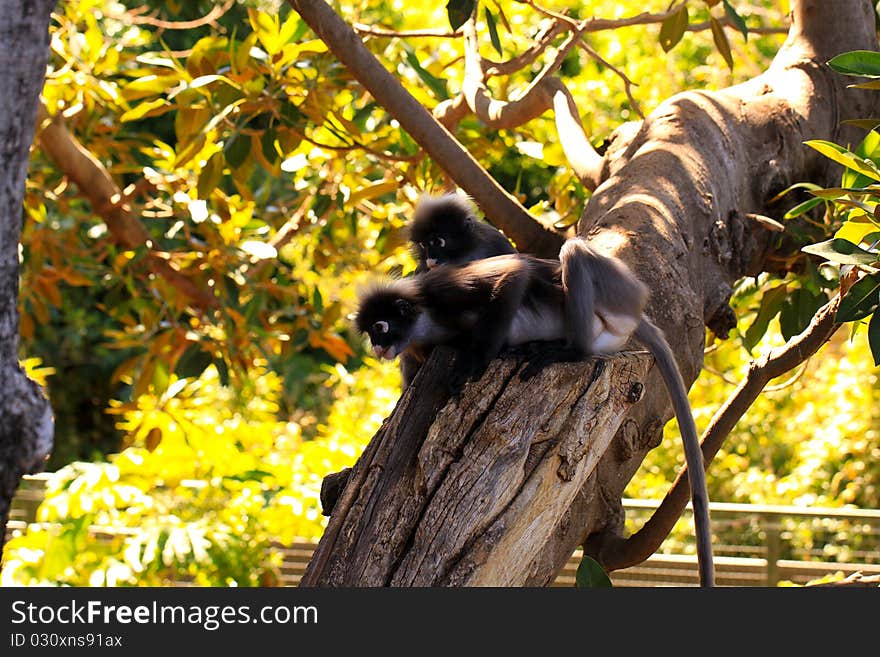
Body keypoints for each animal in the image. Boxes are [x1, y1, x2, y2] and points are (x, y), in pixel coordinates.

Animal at [356, 241, 716, 584]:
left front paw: (477, 360)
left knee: (573, 252)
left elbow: (514, 274)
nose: (377, 346)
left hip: (618, 297)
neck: (428, 323)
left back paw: (569, 351)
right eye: (371, 332)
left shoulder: (446, 289)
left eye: (380, 327)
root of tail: (638, 313)